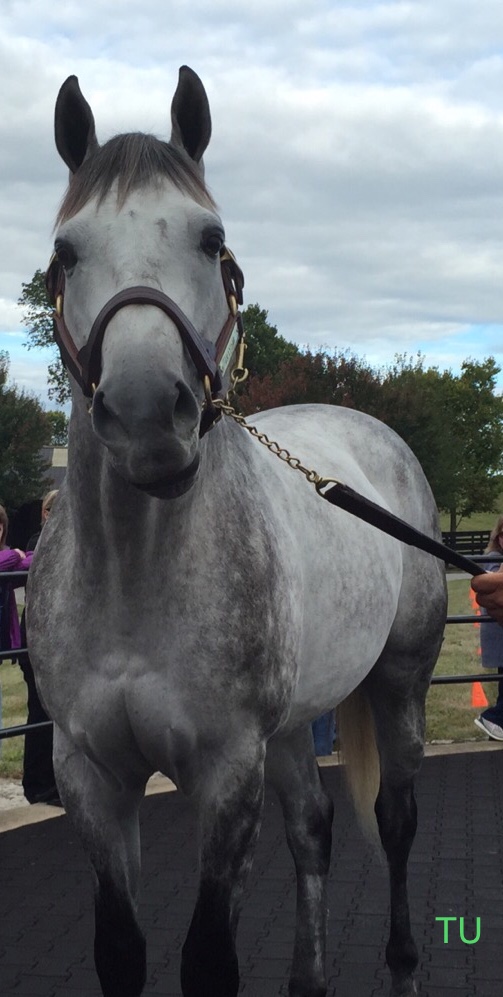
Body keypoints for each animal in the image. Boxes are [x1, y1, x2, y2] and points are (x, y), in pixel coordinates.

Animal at [28, 66, 444, 992]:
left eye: (210, 237)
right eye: (67, 251)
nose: (148, 416)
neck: (136, 577)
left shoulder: (226, 769)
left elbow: (209, 957)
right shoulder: (90, 774)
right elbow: (121, 950)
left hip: (398, 682)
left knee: (397, 819)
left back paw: (401, 962)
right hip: (289, 727)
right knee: (314, 827)